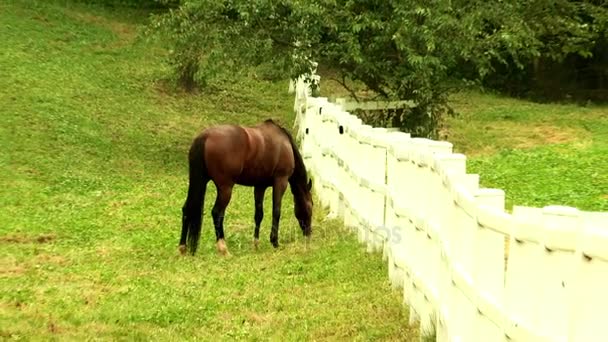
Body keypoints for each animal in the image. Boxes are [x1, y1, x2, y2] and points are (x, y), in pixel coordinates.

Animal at [177, 119, 314, 255]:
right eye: (311, 205)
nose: (309, 233)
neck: (285, 143)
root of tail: (205, 136)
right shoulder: (281, 181)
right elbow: (276, 211)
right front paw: (275, 242)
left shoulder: (260, 186)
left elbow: (258, 214)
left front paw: (256, 244)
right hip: (225, 189)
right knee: (217, 213)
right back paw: (223, 248)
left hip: (199, 182)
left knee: (187, 209)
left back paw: (182, 248)